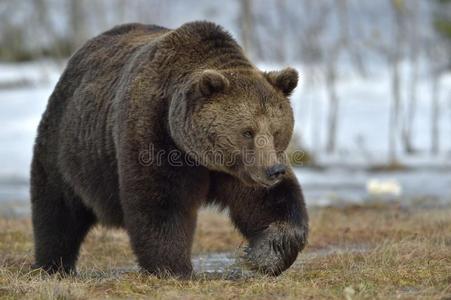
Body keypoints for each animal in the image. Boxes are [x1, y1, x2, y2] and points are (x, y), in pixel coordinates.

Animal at [30, 21, 308, 276]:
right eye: (247, 131)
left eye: (276, 131)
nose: (273, 171)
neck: (197, 152)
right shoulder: (156, 134)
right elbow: (162, 202)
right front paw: (173, 268)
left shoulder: (237, 170)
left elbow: (269, 201)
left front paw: (263, 255)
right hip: (68, 145)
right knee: (57, 207)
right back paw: (53, 265)